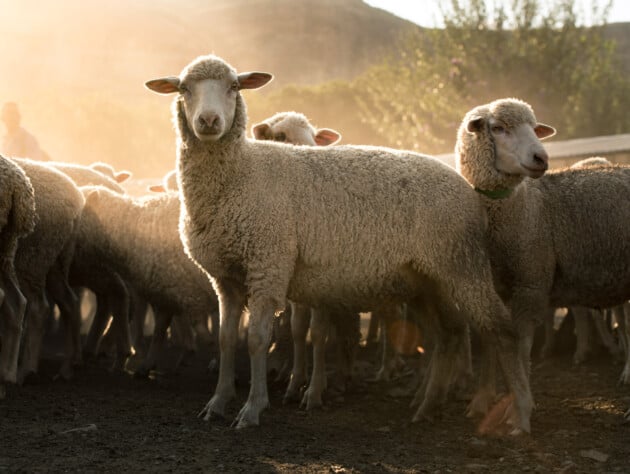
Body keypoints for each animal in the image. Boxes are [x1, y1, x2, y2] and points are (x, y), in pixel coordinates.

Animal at [144, 55, 532, 434]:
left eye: (234, 87)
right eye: (183, 89)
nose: (209, 121)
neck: (243, 173)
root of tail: (467, 188)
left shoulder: (268, 265)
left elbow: (256, 339)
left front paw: (253, 408)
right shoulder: (225, 278)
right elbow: (227, 340)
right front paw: (218, 403)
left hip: (462, 265)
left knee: (501, 331)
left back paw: (518, 415)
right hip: (426, 279)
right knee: (447, 335)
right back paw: (427, 406)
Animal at [456, 98, 630, 420]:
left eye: (535, 128)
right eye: (498, 128)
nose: (541, 158)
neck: (523, 209)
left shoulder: (531, 283)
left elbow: (522, 347)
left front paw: (519, 406)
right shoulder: (491, 288)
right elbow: (491, 342)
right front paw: (483, 400)